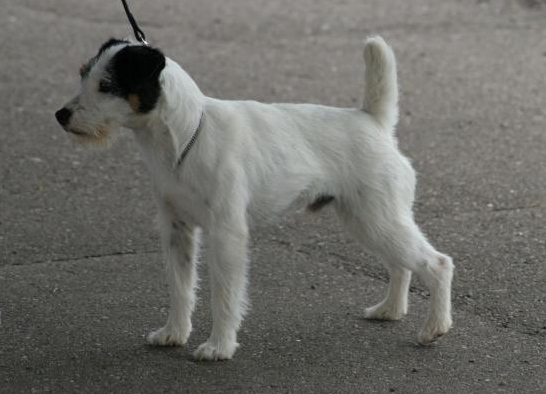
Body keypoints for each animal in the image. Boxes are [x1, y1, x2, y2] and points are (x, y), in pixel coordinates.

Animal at [57, 36, 452, 360]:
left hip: (378, 219)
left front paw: (219, 347)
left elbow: (225, 294)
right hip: (368, 222)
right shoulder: (176, 229)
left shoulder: (226, 234)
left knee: (437, 264)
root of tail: (374, 122)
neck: (187, 134)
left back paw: (434, 328)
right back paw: (390, 310)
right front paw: (173, 333)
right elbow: (181, 287)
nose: (61, 115)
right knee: (401, 264)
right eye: (83, 74)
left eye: (107, 85)